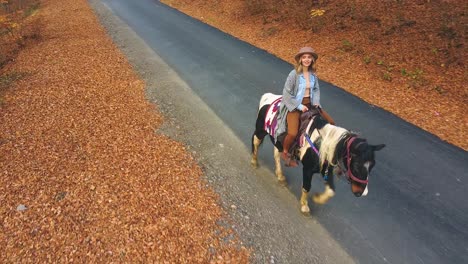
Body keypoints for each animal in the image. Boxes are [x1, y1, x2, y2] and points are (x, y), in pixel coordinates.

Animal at [250, 92, 386, 212]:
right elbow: (306, 186)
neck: (323, 143)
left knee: (277, 154)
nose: (361, 192)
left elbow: (331, 191)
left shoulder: (326, 170)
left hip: (279, 142)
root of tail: (268, 97)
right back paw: (254, 162)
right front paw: (304, 206)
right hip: (261, 131)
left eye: (372, 166)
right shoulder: (308, 169)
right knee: (256, 142)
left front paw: (317, 198)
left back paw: (280, 176)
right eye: (357, 165)